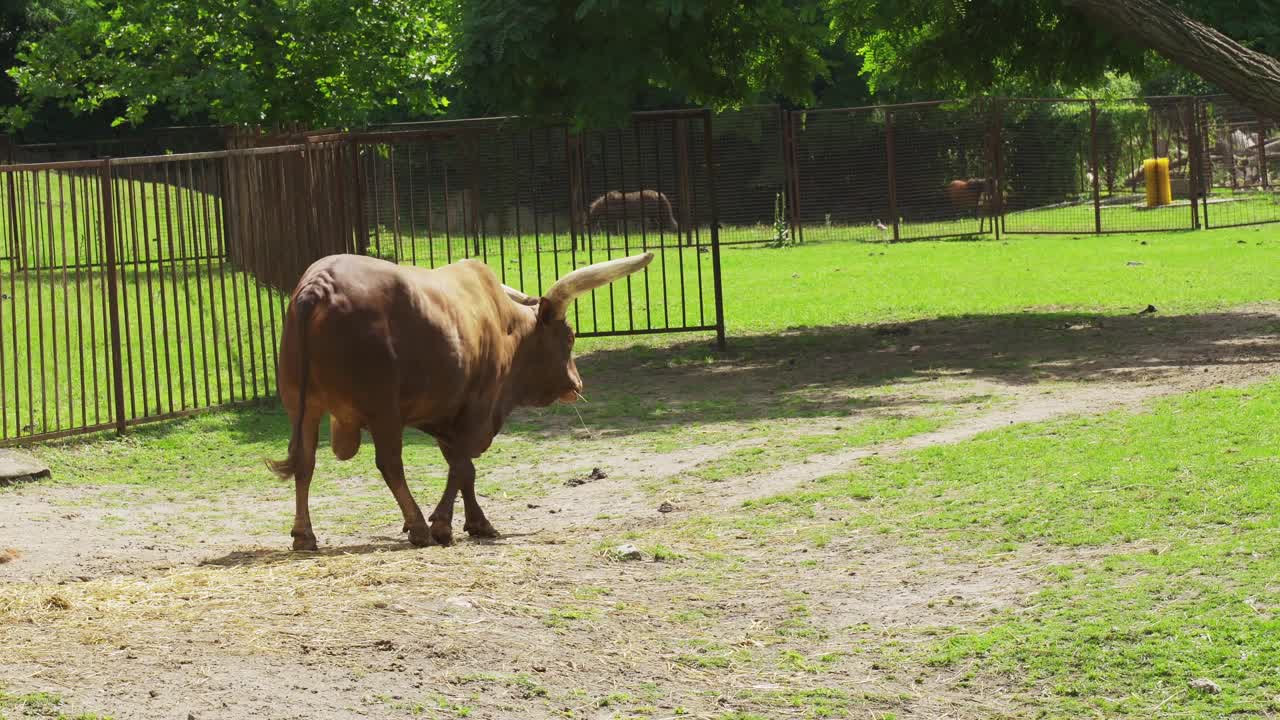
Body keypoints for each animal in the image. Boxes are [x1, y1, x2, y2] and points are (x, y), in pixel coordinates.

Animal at [267, 249, 650, 545]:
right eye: (569, 337)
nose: (577, 384)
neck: (505, 327)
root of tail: (318, 285)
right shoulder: (475, 409)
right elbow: (463, 466)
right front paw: (441, 523)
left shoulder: (445, 415)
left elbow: (461, 466)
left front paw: (476, 522)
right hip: (382, 409)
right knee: (390, 464)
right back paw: (418, 527)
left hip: (302, 406)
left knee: (305, 463)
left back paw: (304, 535)